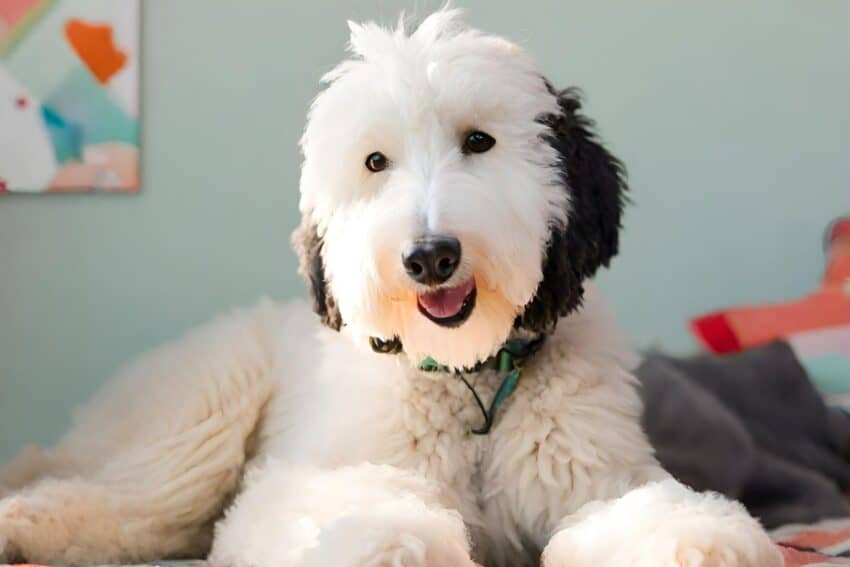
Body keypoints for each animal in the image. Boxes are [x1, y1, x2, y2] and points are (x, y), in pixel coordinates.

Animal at [0, 8, 780, 567]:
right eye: (376, 162)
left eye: (478, 142)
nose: (431, 257)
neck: (470, 380)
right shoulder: (310, 474)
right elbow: (349, 507)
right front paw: (389, 543)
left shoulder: (592, 473)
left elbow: (639, 510)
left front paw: (698, 543)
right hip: (203, 412)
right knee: (122, 501)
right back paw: (24, 519)